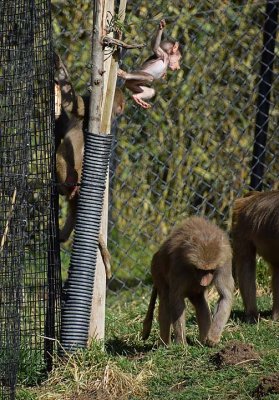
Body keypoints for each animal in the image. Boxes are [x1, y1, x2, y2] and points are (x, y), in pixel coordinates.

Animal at [143, 216, 235, 346]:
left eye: (210, 270)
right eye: (200, 269)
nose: (203, 283)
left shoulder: (224, 263)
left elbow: (225, 296)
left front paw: (213, 337)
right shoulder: (178, 264)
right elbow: (176, 299)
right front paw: (181, 343)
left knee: (200, 302)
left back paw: (202, 341)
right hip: (157, 269)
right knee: (165, 300)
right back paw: (165, 344)